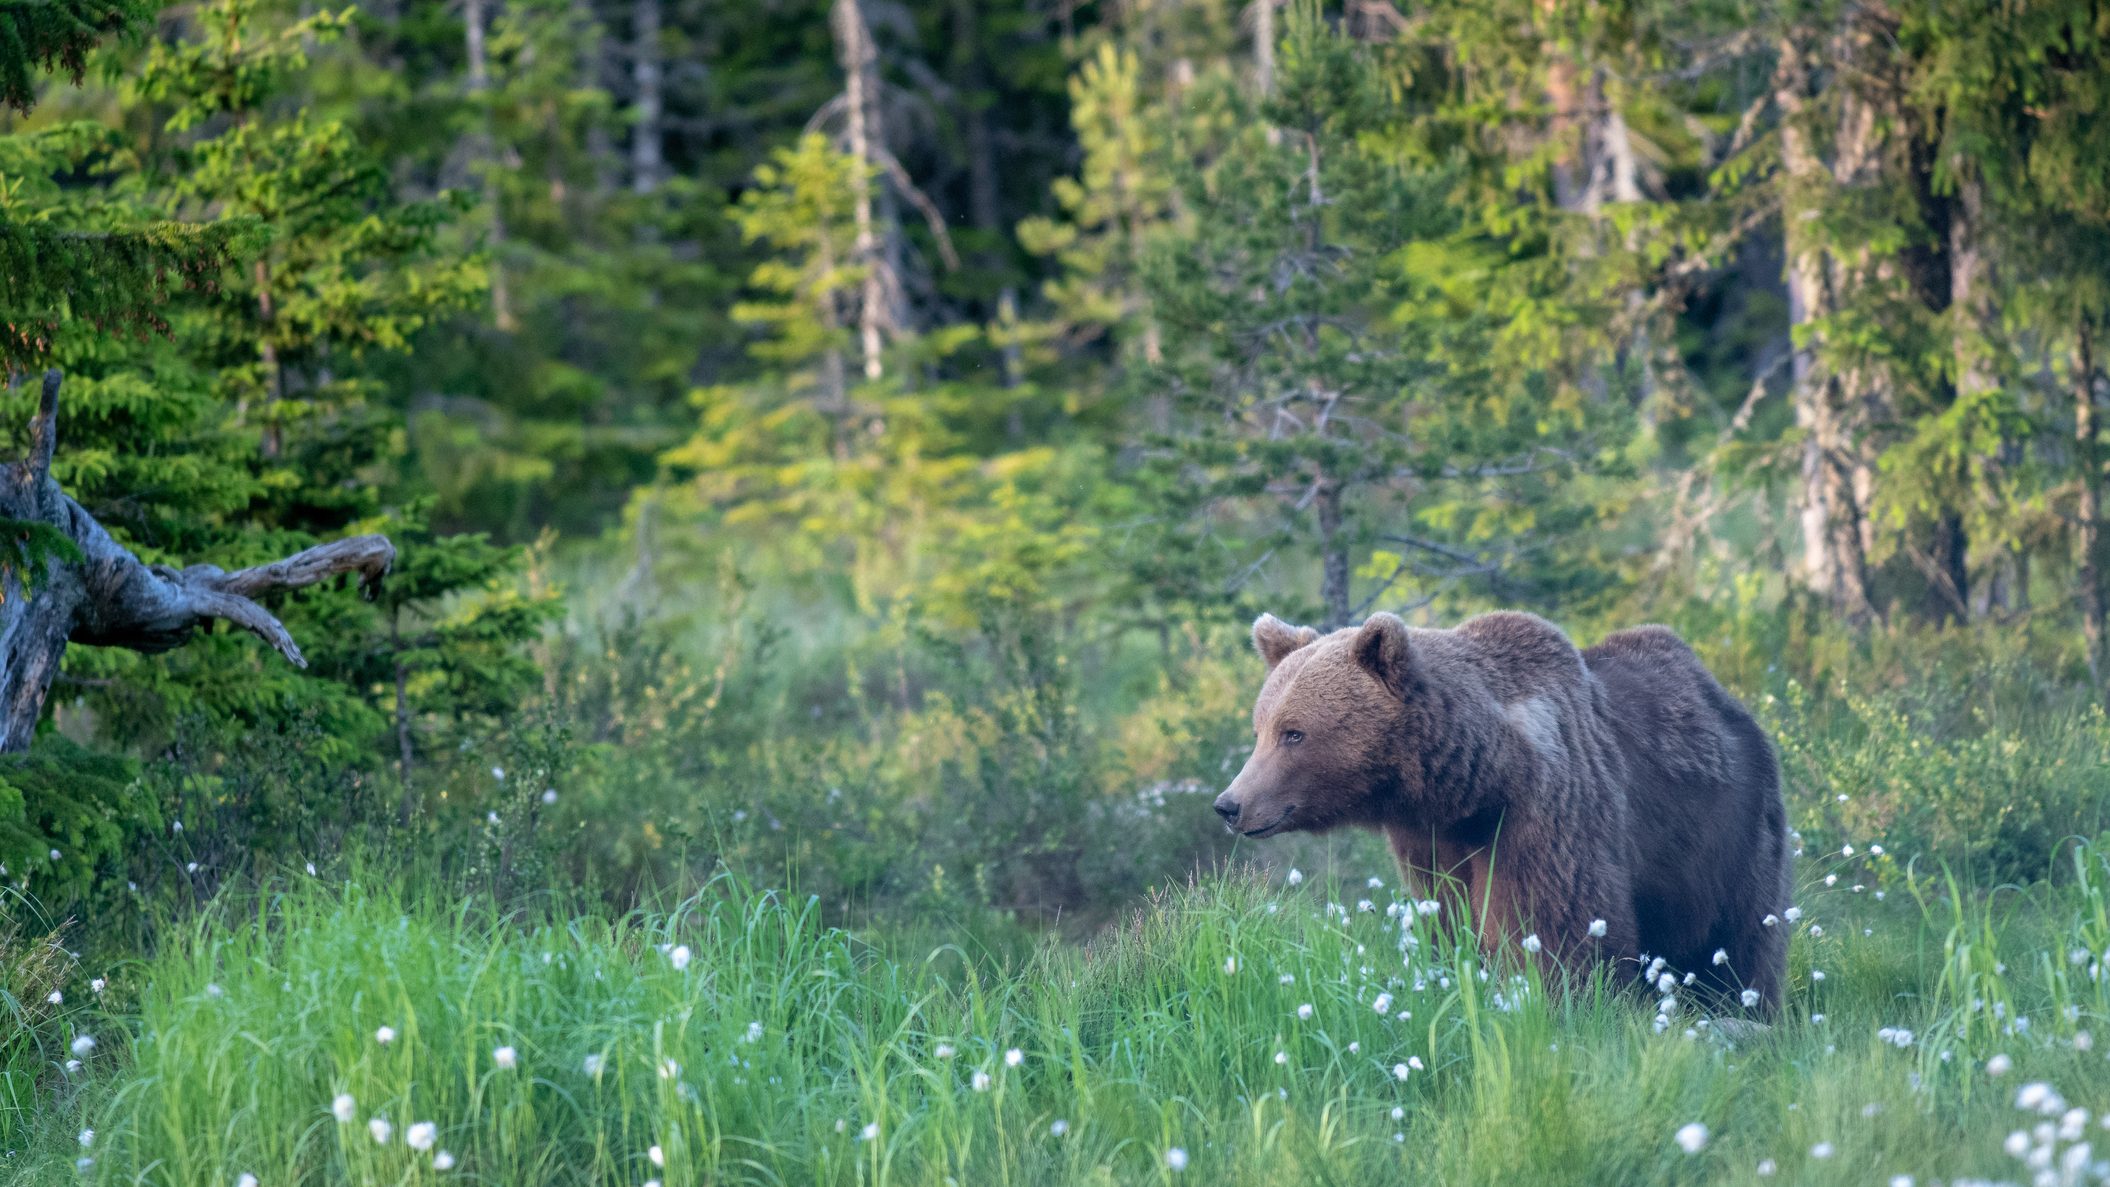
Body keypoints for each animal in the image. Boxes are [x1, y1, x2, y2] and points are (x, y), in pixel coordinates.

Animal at [1215, 611, 1789, 1012]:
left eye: (1294, 733)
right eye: (1260, 729)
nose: (1230, 804)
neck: (1480, 779)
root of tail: (1725, 697)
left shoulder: (1544, 814)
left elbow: (1559, 926)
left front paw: (1558, 1001)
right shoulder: (1430, 839)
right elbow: (1446, 919)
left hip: (1729, 830)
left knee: (1740, 936)